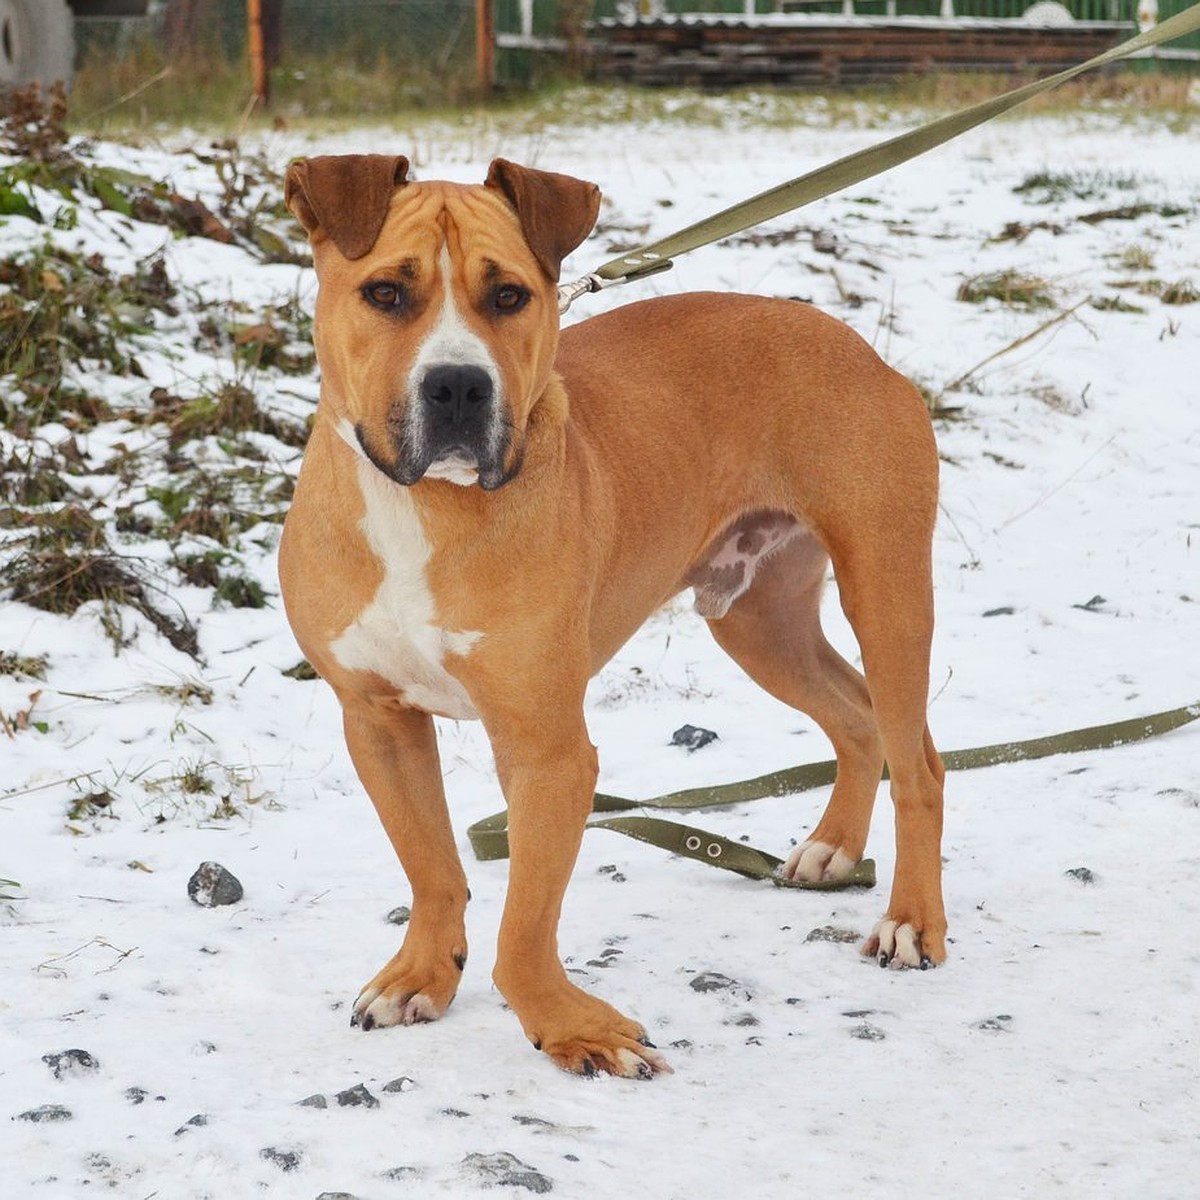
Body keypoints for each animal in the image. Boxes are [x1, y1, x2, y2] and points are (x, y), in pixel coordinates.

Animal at [280, 152, 945, 1080]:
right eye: (385, 293)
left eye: (510, 296)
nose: (458, 385)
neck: (424, 505)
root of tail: (854, 343)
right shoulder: (377, 720)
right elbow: (432, 867)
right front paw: (423, 975)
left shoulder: (547, 750)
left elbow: (526, 924)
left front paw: (567, 1027)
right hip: (757, 620)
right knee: (857, 719)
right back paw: (834, 850)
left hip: (885, 588)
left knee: (920, 762)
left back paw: (913, 920)